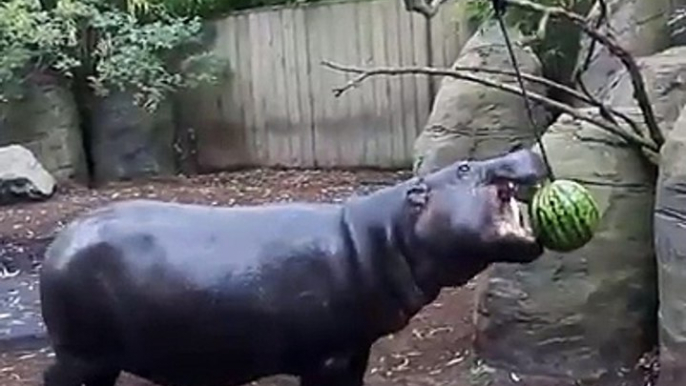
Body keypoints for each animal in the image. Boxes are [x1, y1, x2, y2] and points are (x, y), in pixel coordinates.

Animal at [41, 148, 548, 386]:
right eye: (463, 168)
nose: (526, 150)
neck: (385, 234)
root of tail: (58, 242)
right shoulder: (325, 358)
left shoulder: (353, 348)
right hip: (80, 354)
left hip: (98, 359)